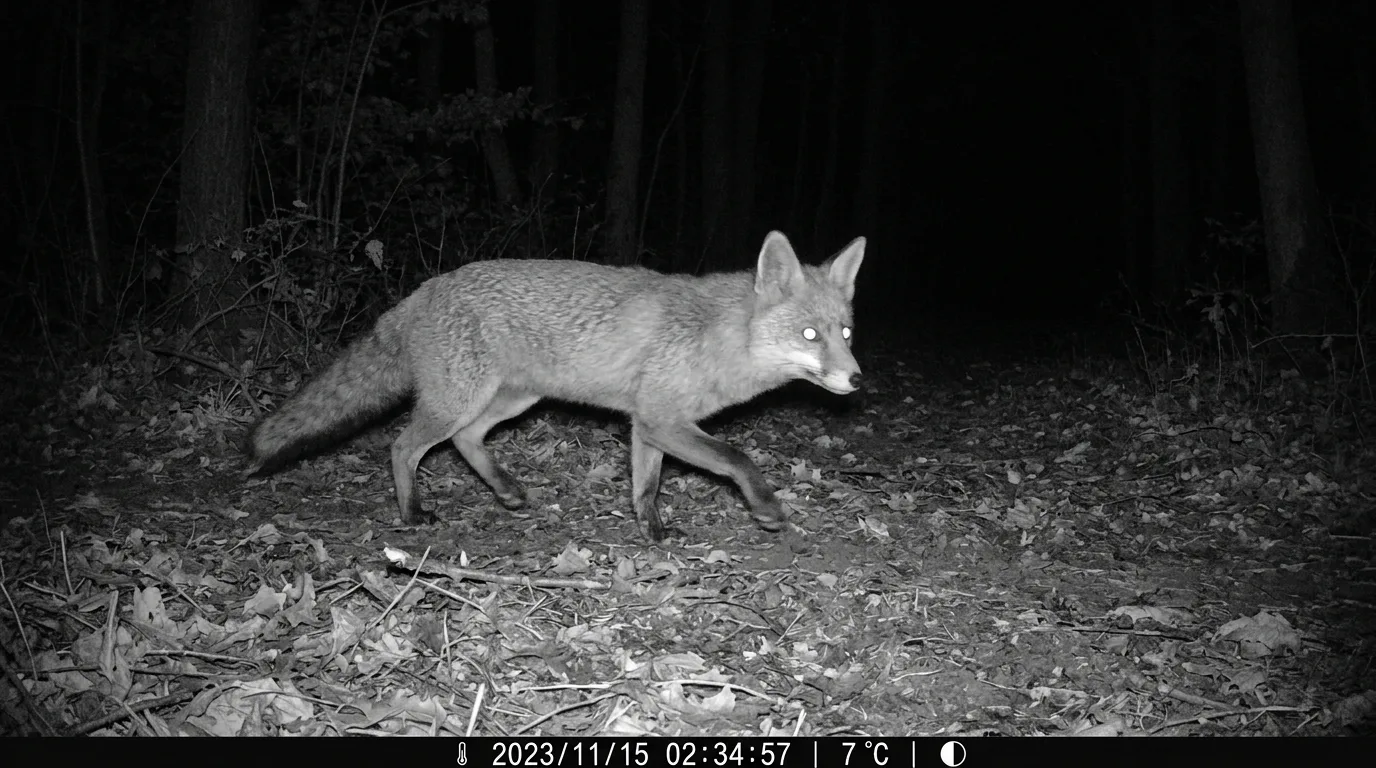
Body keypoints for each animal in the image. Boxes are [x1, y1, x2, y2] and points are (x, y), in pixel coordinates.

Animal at [247, 231, 866, 541]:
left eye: (846, 332)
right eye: (810, 335)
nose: (857, 378)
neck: (718, 338)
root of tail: (422, 290)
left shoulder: (648, 424)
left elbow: (646, 487)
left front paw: (653, 532)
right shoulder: (663, 419)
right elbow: (739, 459)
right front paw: (767, 510)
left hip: (510, 400)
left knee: (466, 441)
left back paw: (506, 491)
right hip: (458, 401)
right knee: (402, 446)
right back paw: (412, 514)